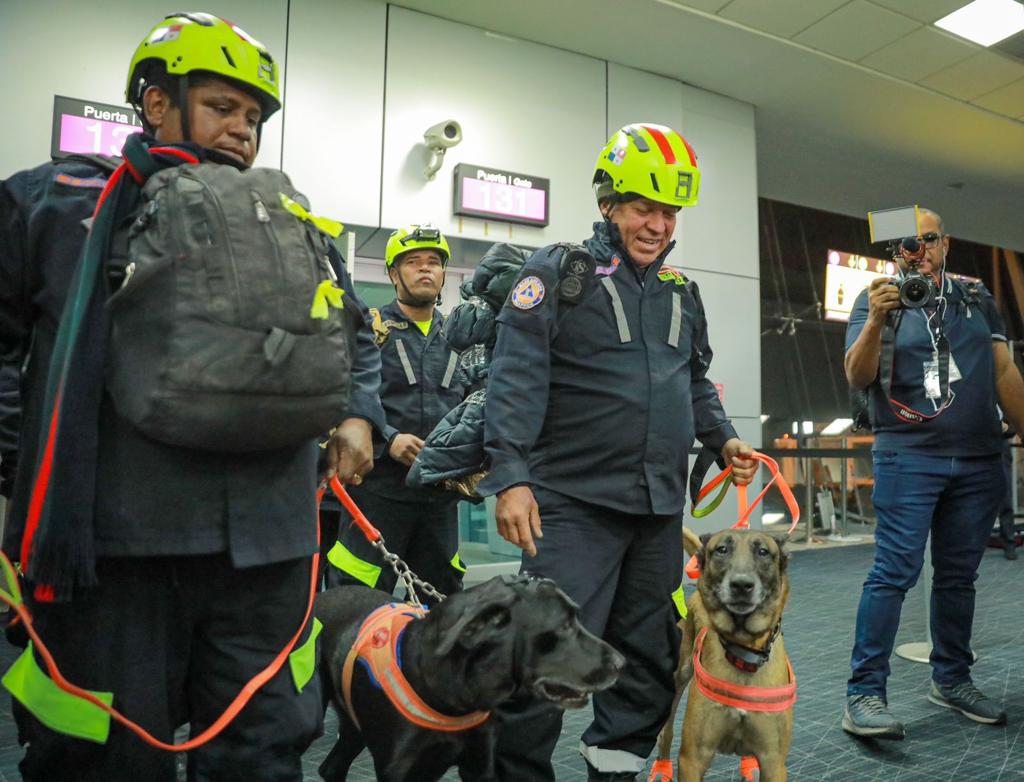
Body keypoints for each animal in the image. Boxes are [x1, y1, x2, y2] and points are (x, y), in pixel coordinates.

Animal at [319, 573, 622, 781]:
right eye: (565, 626)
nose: (621, 662)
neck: (450, 699)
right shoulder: (397, 770)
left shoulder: (480, 764)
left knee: (331, 766)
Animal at [651, 524, 794, 781]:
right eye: (722, 550)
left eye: (763, 552)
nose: (741, 585)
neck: (744, 651)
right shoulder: (692, 759)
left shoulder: (774, 763)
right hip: (679, 676)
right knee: (665, 732)